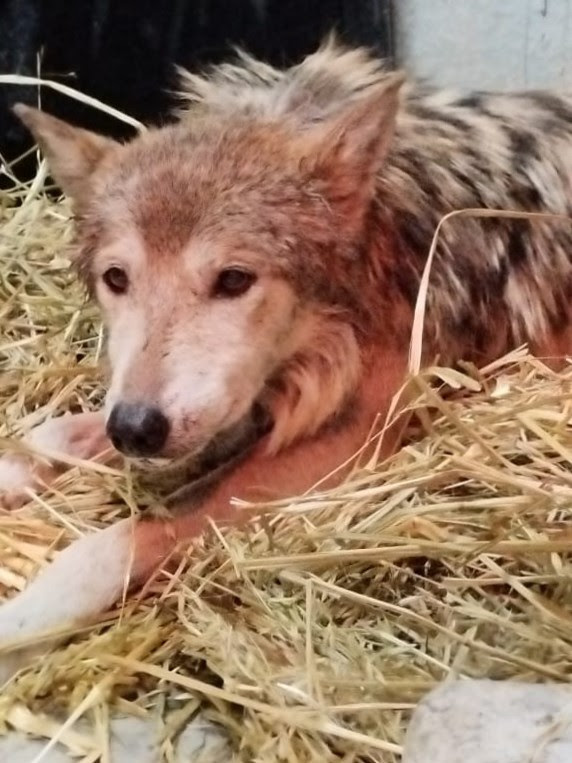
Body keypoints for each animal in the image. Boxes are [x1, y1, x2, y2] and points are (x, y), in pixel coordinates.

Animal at [1, 40, 572, 680]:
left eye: (233, 279)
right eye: (116, 279)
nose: (137, 430)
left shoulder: (347, 439)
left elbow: (112, 541)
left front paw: (20, 626)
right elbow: (55, 433)